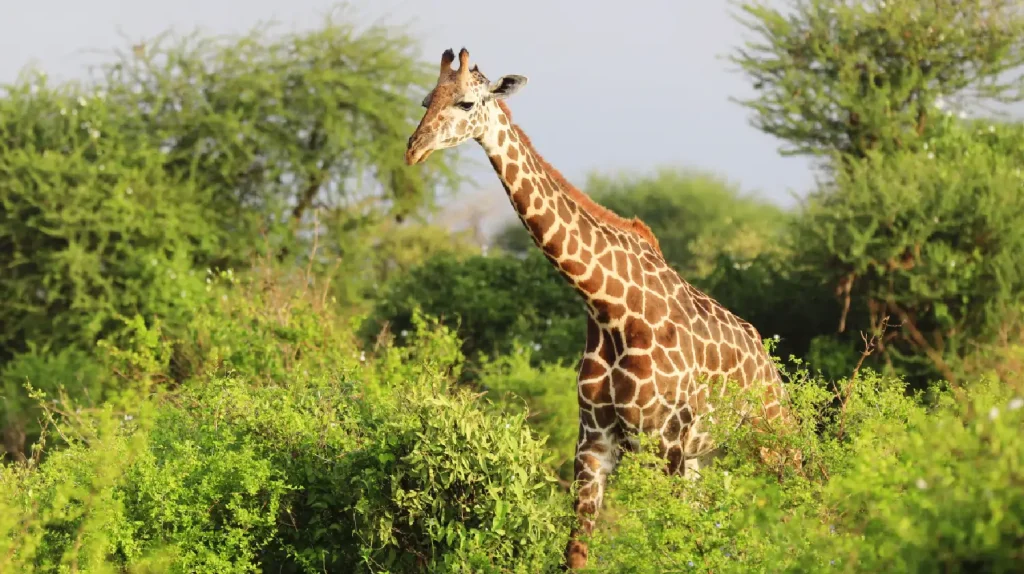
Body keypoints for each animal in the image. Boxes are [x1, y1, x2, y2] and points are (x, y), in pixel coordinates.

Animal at [405, 48, 797, 570]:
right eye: (427, 100)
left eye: (467, 102)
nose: (414, 149)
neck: (610, 308)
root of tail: (769, 364)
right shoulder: (593, 443)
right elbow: (578, 551)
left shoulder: (664, 442)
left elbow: (666, 548)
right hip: (704, 456)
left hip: (769, 442)